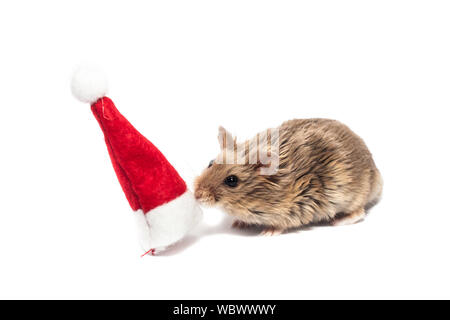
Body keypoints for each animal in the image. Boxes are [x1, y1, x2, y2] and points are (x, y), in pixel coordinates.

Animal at [193, 119, 384, 234]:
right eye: (210, 163)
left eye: (232, 181)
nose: (196, 195)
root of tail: (376, 175)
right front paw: (238, 224)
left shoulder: (295, 208)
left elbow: (280, 225)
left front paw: (267, 232)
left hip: (352, 196)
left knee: (359, 213)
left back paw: (337, 221)